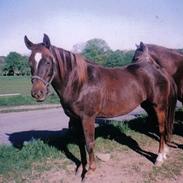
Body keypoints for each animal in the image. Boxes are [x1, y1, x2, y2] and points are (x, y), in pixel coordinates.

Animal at [24, 34, 176, 176]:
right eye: (30, 62)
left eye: (48, 61)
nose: (37, 93)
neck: (79, 83)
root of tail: (159, 69)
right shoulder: (75, 119)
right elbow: (80, 143)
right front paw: (81, 168)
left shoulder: (88, 118)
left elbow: (89, 143)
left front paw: (91, 170)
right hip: (149, 106)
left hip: (159, 106)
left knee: (161, 129)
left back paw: (159, 158)